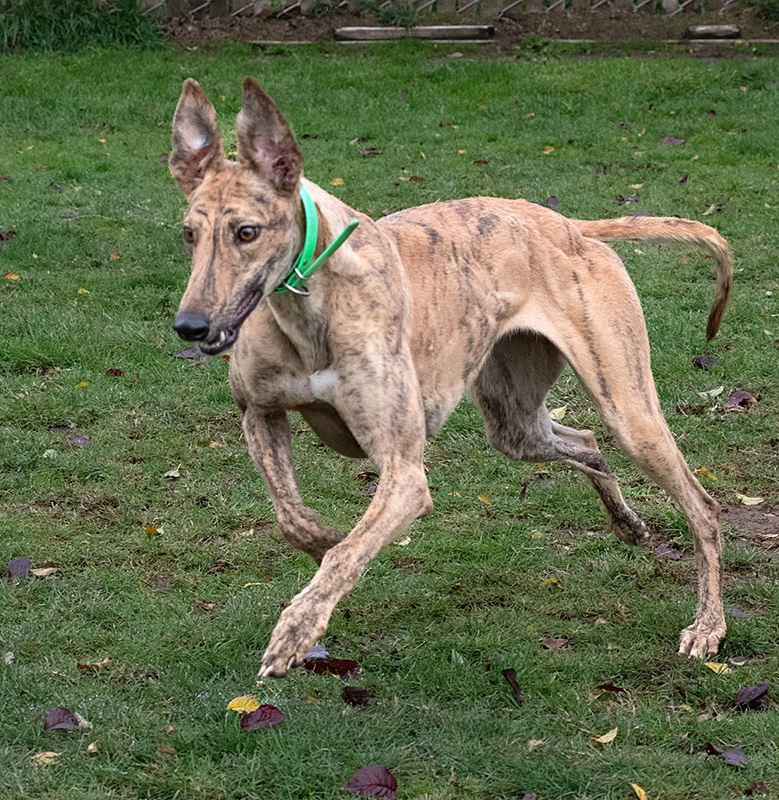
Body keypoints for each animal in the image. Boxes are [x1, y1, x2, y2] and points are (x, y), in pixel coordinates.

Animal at [168, 78, 736, 680]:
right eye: (188, 233)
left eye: (247, 232)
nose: (190, 326)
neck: (310, 303)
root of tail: (568, 226)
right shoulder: (260, 413)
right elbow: (294, 520)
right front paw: (324, 541)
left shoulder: (404, 475)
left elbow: (349, 549)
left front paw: (297, 628)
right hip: (515, 423)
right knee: (584, 441)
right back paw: (627, 523)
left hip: (628, 409)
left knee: (702, 506)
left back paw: (708, 626)